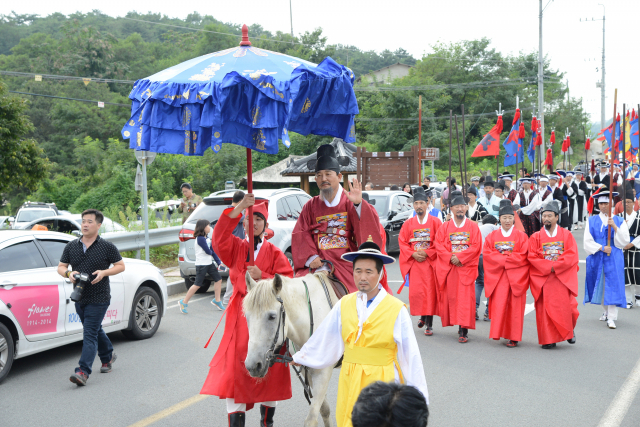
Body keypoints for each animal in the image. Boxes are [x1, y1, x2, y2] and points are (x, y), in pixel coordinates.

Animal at [242, 272, 340, 427]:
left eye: (272, 316)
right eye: (247, 316)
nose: (253, 365)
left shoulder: (323, 373)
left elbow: (311, 419)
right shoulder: (308, 371)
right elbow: (324, 410)